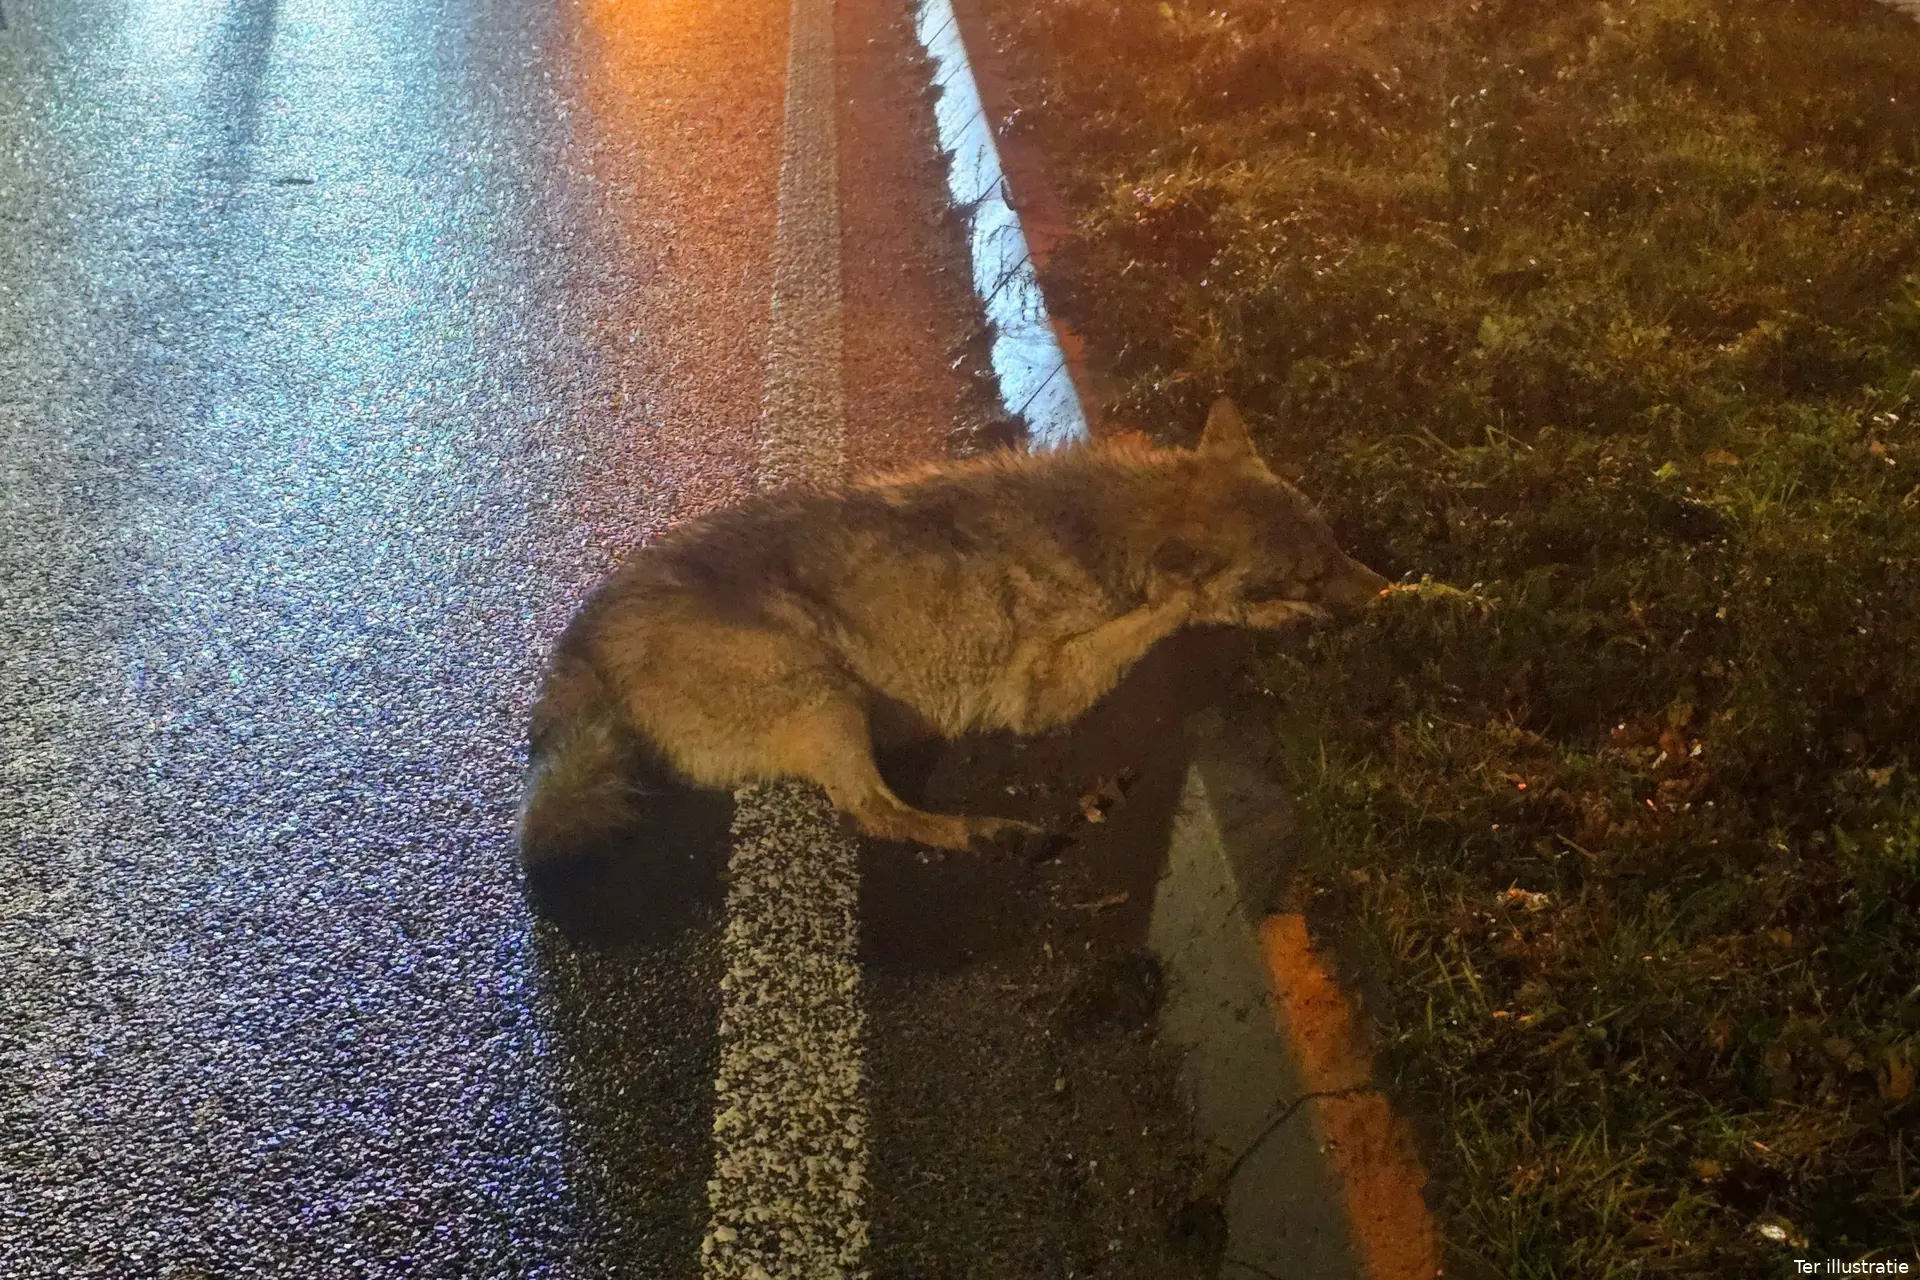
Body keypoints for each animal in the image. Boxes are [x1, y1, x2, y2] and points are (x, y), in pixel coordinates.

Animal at [518, 399, 1388, 918]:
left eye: (1335, 547)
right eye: (1311, 575)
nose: (1391, 594)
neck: (1104, 532)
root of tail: (585, 631)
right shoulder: (1045, 692)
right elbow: (1169, 616)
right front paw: (1271, 616)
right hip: (825, 692)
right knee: (873, 812)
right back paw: (991, 835)